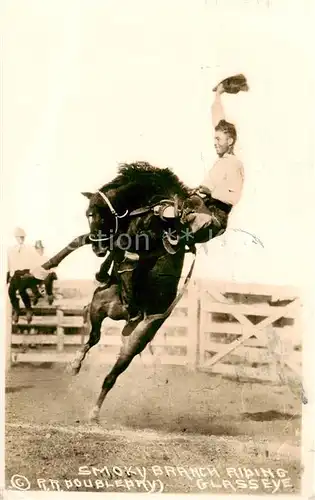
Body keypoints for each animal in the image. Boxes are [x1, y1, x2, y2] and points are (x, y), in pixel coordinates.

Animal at [17, 161, 220, 422]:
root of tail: (125, 315)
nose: (97, 248)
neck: (149, 205)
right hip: (99, 305)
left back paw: (94, 412)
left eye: (99, 213)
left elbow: (122, 246)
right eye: (87, 214)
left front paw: (111, 264)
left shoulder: (141, 238)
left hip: (138, 338)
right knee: (94, 337)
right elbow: (80, 241)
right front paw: (41, 269)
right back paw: (75, 364)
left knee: (112, 375)